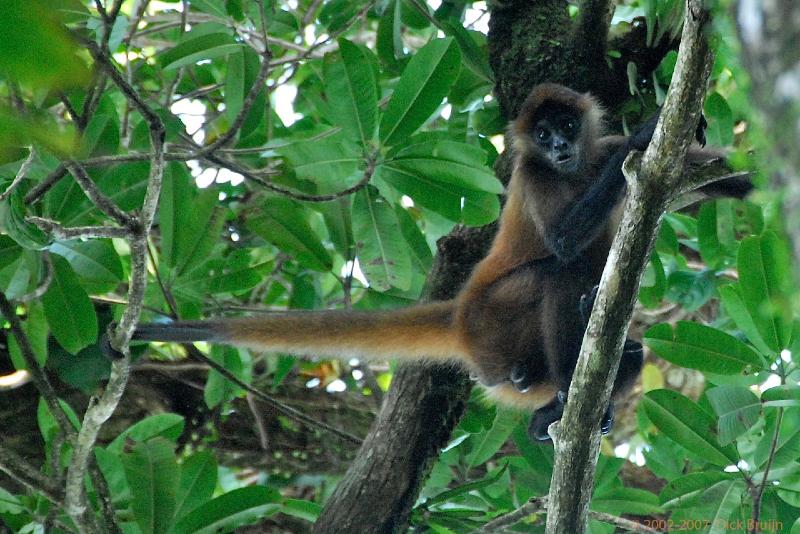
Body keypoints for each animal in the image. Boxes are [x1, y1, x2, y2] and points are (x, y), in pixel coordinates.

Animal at [123, 84, 752, 442]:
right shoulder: (534, 174)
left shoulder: (596, 151)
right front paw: (647, 131)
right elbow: (565, 245)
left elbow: (725, 183)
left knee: (629, 343)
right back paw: (560, 400)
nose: (557, 146)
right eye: (543, 133)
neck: (575, 167)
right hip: (495, 326)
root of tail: (459, 313)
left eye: (567, 126)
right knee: (559, 276)